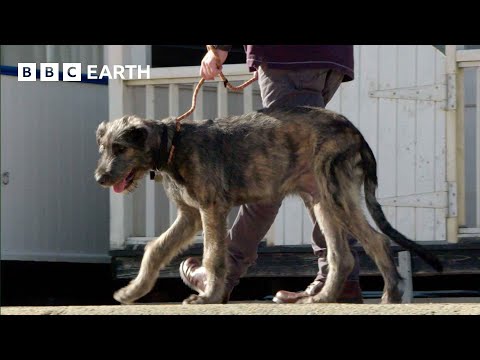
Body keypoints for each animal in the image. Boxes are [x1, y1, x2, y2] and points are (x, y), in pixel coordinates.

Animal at [94, 106, 442, 304]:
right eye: (104, 148)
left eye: (120, 148)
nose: (99, 178)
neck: (173, 145)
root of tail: (356, 133)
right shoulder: (190, 215)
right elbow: (156, 249)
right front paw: (133, 291)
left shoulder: (211, 209)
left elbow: (212, 257)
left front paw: (209, 296)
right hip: (321, 200)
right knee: (341, 256)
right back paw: (323, 298)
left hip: (336, 194)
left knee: (377, 241)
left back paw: (391, 294)